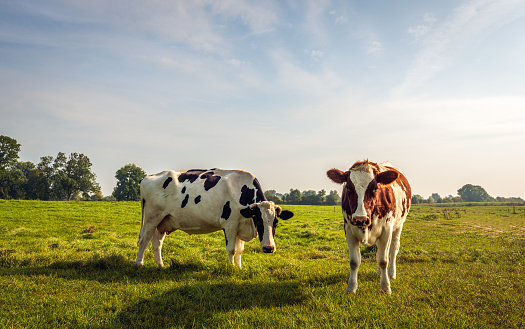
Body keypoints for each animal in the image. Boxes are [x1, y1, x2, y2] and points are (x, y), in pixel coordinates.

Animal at [135, 169, 292, 266]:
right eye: (259, 220)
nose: (268, 248)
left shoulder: (241, 224)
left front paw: (238, 267)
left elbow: (239, 250)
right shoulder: (230, 224)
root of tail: (147, 177)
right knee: (144, 239)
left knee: (157, 242)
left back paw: (160, 264)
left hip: (163, 220)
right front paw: (231, 267)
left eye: (276, 222)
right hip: (151, 217)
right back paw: (139, 263)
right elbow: (231, 249)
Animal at [328, 160, 410, 294]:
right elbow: (354, 261)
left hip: (399, 225)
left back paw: (391, 273)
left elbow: (383, 260)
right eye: (348, 188)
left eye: (375, 188)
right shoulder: (349, 229)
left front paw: (385, 287)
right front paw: (351, 288)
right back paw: (380, 273)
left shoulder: (386, 229)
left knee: (393, 248)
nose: (360, 219)